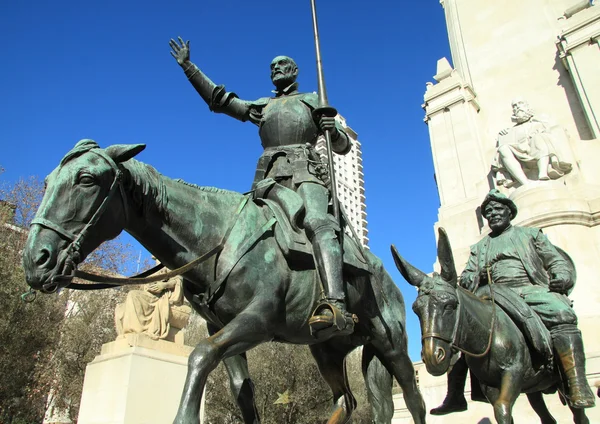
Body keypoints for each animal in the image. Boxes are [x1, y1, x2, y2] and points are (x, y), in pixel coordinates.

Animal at [22, 141, 426, 424]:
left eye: (86, 180)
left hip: (390, 345)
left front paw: (183, 417)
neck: (216, 236)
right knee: (347, 400)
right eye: (47, 182)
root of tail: (381, 272)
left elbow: (199, 355)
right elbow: (240, 391)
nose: (36, 259)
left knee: (414, 399)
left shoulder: (258, 321)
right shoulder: (223, 328)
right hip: (326, 349)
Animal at [390, 229, 592, 424]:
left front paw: (561, 280)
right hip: (534, 388)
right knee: (547, 417)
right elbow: (502, 412)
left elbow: (502, 409)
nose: (433, 356)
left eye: (450, 305)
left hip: (561, 380)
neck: (493, 333)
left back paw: (581, 395)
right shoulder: (489, 384)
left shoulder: (513, 373)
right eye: (416, 310)